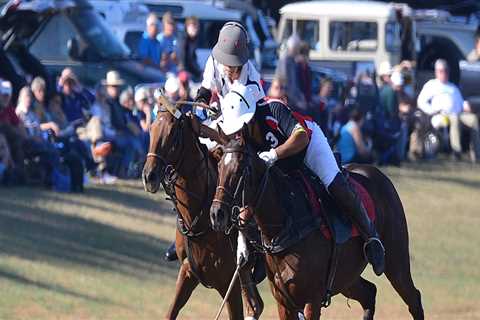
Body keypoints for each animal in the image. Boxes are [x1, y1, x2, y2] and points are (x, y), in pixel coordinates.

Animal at [142, 104, 262, 318]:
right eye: (152, 128)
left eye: (173, 133)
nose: (149, 176)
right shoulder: (188, 272)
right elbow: (171, 312)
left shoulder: (227, 283)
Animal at [210, 130, 424, 320]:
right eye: (218, 167)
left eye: (239, 170)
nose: (216, 214)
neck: (286, 225)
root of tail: (377, 173)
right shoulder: (284, 302)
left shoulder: (311, 300)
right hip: (346, 277)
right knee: (369, 293)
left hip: (396, 260)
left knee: (413, 298)